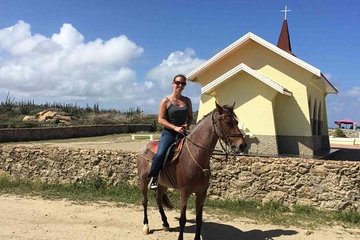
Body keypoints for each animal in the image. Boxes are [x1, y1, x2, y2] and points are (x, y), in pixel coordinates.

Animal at [136, 102, 246, 240]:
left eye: (236, 122)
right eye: (227, 122)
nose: (242, 145)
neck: (195, 155)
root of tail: (143, 147)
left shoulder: (201, 192)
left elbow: (199, 219)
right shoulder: (184, 192)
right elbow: (182, 219)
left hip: (162, 184)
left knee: (158, 199)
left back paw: (165, 223)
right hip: (144, 181)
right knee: (145, 201)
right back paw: (146, 226)